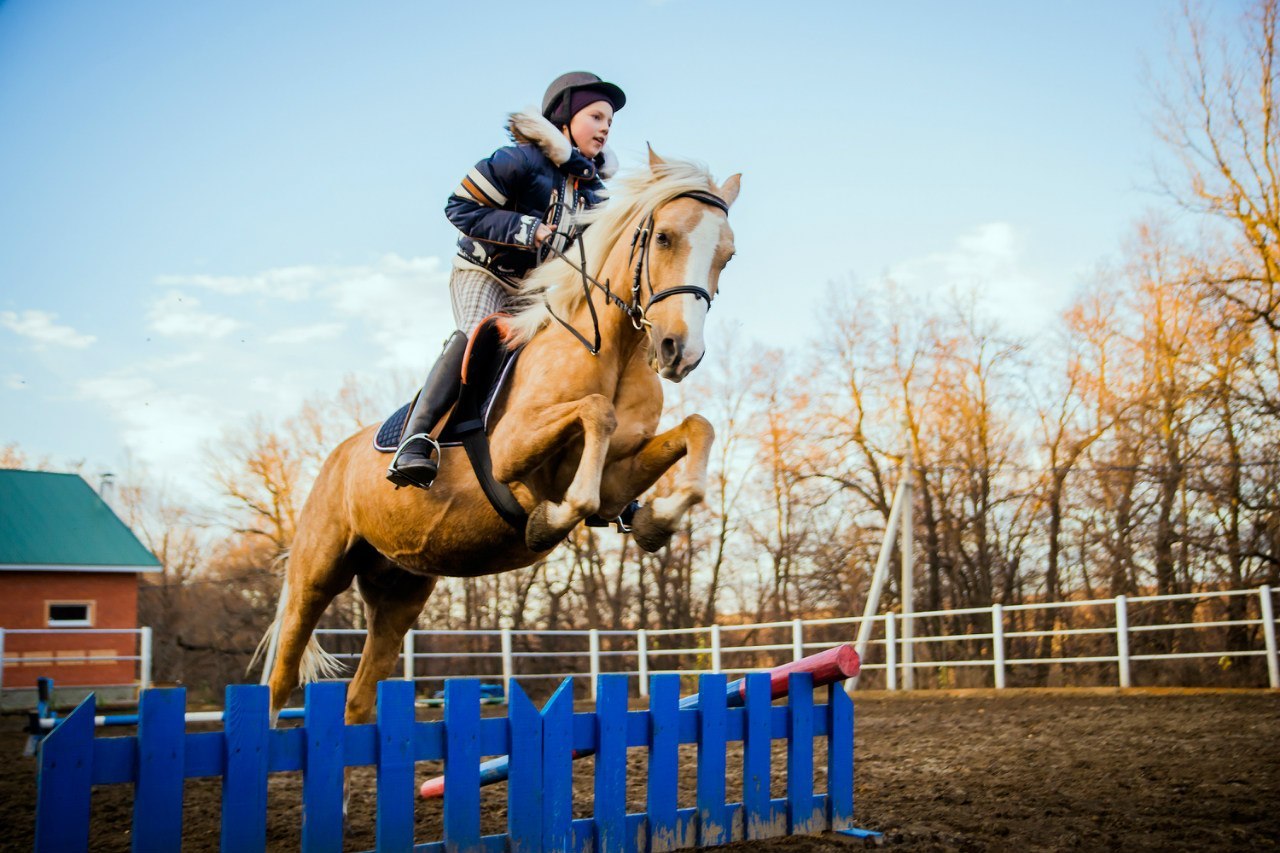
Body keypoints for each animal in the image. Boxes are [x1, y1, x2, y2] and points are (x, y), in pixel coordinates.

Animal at [264, 149, 742, 722]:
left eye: (728, 256)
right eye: (665, 237)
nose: (679, 352)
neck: (614, 350)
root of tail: (333, 460)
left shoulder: (617, 481)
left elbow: (696, 428)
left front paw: (657, 520)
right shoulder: (511, 452)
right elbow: (595, 414)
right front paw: (548, 522)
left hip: (398, 588)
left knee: (359, 695)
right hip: (316, 575)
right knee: (280, 679)